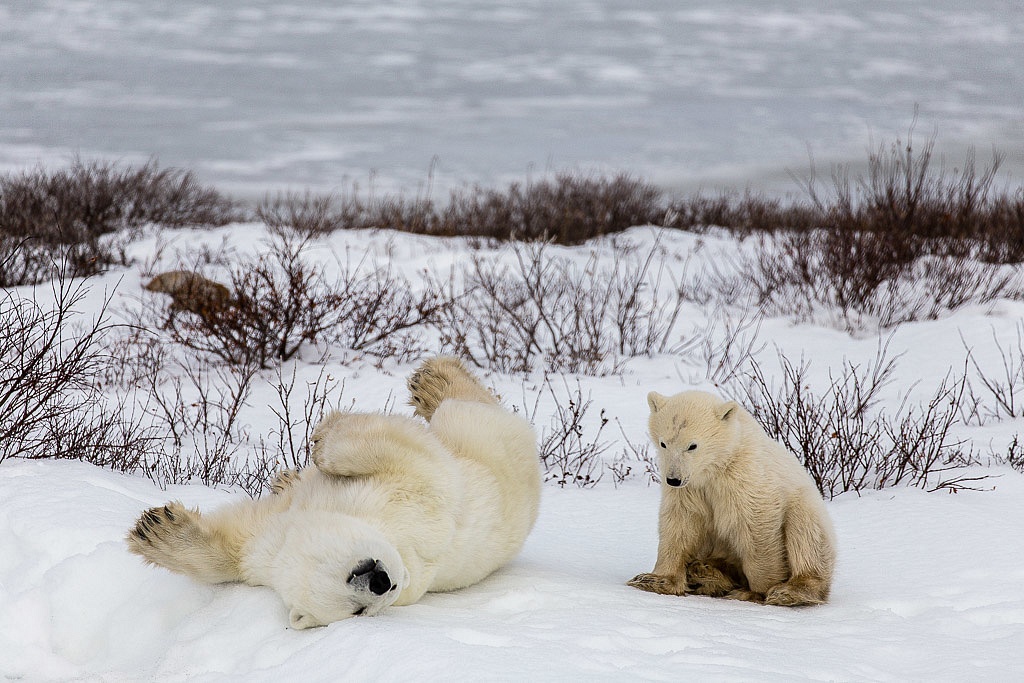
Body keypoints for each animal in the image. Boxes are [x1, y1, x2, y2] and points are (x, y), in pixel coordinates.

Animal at [125, 358, 544, 630]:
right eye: (358, 611)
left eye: (373, 602)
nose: (381, 581)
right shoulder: (265, 542)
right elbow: (230, 550)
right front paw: (156, 530)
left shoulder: (414, 511)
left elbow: (410, 463)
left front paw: (324, 437)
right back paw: (286, 477)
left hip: (487, 442)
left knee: (464, 411)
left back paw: (434, 379)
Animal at [626, 389, 835, 610]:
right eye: (663, 443)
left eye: (692, 446)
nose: (674, 479)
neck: (717, 463)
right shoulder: (691, 489)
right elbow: (681, 523)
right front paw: (654, 580)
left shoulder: (745, 477)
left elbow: (756, 526)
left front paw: (759, 592)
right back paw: (706, 574)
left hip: (809, 511)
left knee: (805, 533)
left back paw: (791, 591)